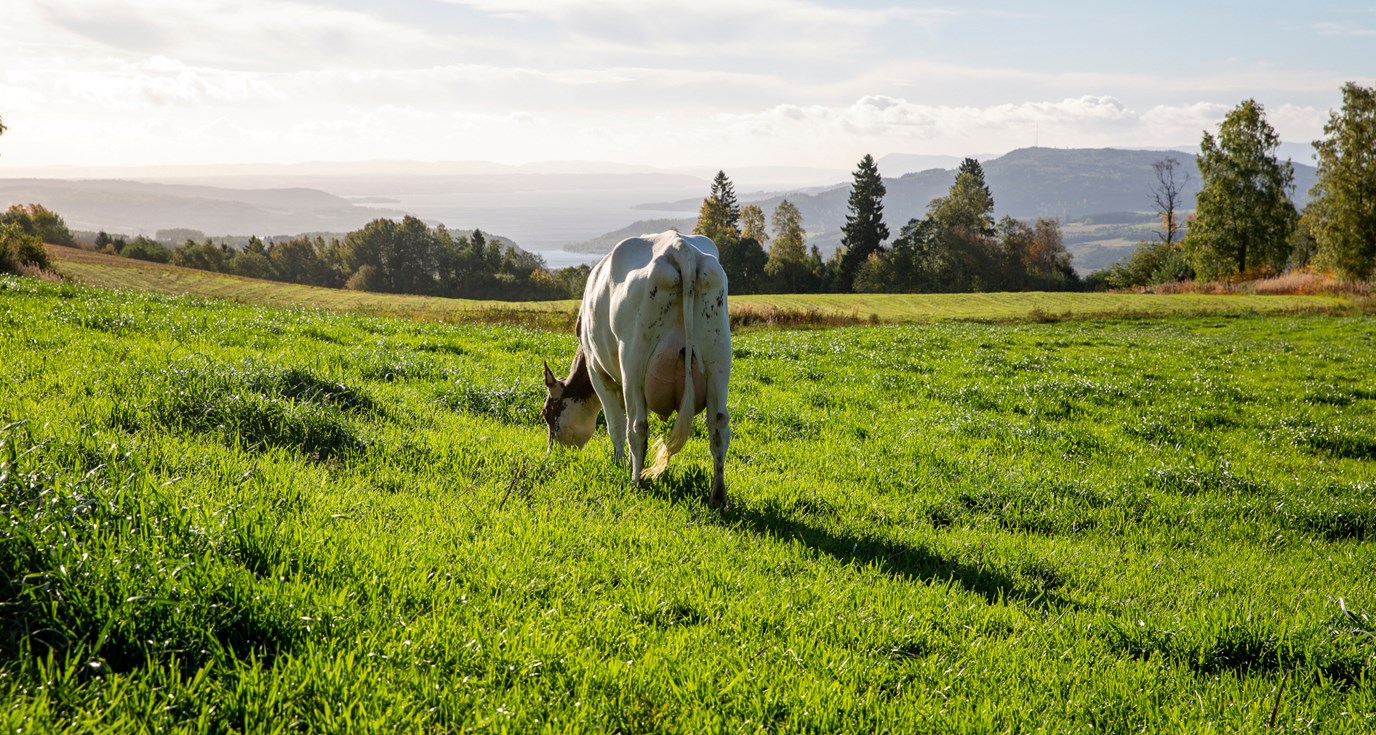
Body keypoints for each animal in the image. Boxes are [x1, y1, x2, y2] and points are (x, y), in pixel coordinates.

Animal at [542, 233, 732, 509]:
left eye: (546, 414)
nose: (551, 454)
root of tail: (680, 247)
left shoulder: (598, 372)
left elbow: (615, 425)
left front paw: (619, 463)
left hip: (633, 360)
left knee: (637, 426)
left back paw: (635, 482)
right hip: (719, 357)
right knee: (718, 427)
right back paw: (718, 497)